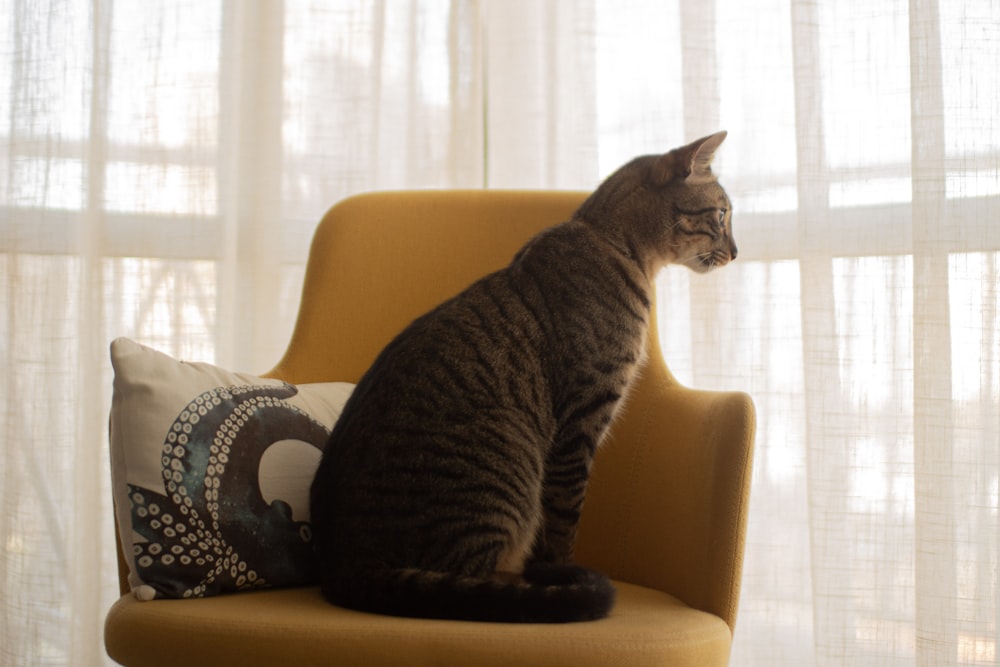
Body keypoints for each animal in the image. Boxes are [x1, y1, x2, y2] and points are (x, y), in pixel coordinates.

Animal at [308, 132, 740, 628]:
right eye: (722, 215)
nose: (736, 252)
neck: (616, 245)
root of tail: (342, 568)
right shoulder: (581, 423)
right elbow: (564, 522)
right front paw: (563, 572)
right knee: (476, 576)